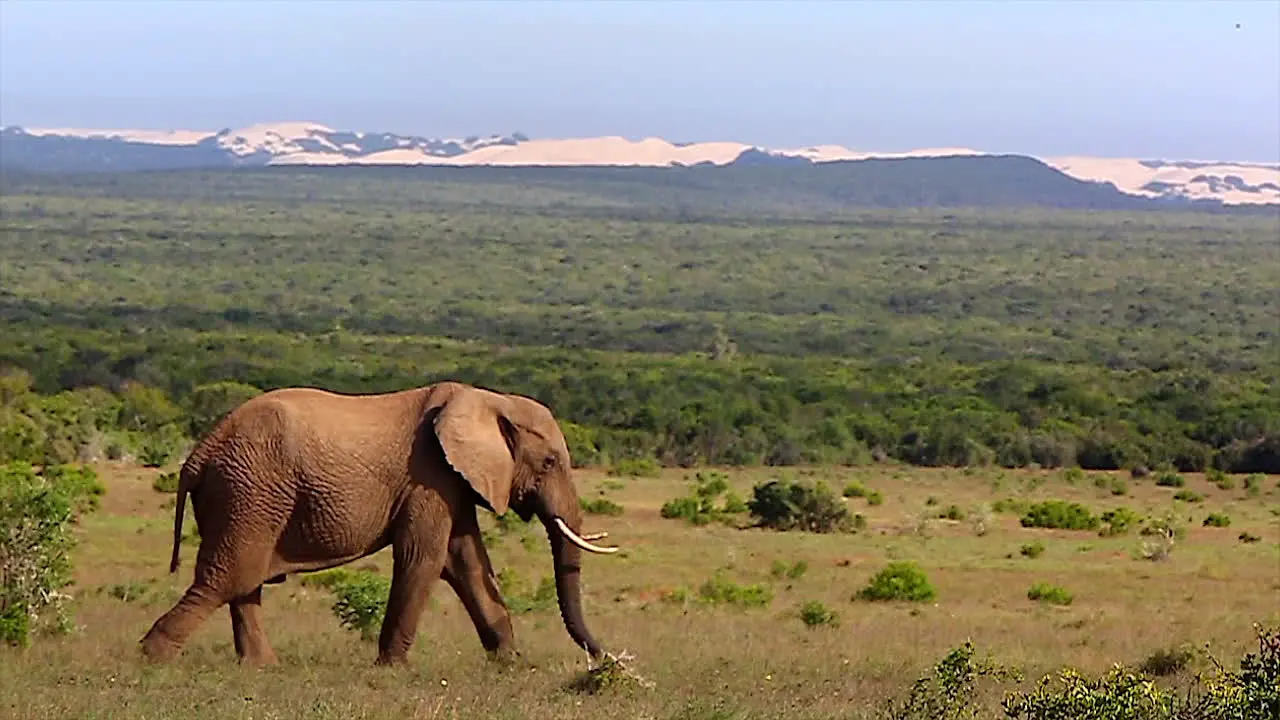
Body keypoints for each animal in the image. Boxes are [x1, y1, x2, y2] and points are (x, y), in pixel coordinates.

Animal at [140, 379, 619, 666]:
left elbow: (465, 560)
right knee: (226, 578)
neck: (489, 398)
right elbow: (425, 559)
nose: (606, 660)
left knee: (242, 583)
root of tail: (197, 456)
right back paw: (151, 661)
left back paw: (261, 669)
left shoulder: (452, 481)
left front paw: (509, 664)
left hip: (246, 497)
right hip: (249, 491)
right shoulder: (428, 475)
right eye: (550, 461)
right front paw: (394, 669)